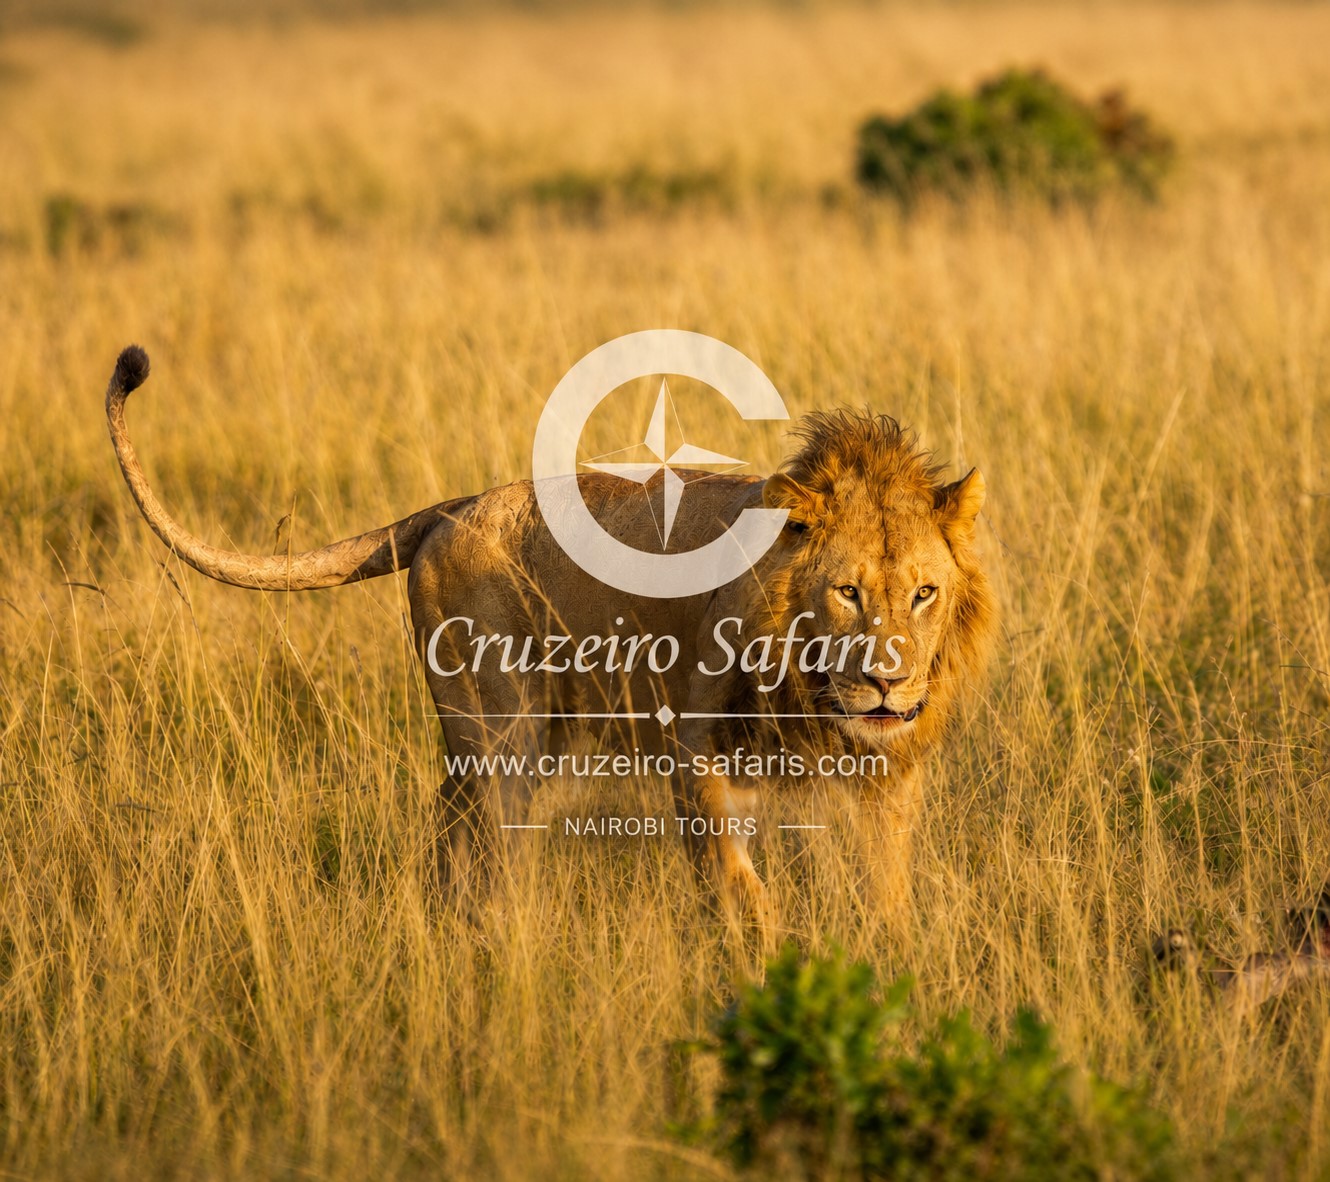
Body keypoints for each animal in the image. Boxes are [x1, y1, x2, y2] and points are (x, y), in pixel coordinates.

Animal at [104, 344, 995, 937]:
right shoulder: (695, 754)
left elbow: (883, 890)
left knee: (451, 830)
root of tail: (452, 507)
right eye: (847, 593)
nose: (889, 685)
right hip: (503, 731)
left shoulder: (885, 777)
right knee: (488, 845)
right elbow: (738, 888)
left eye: (924, 594)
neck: (812, 691)